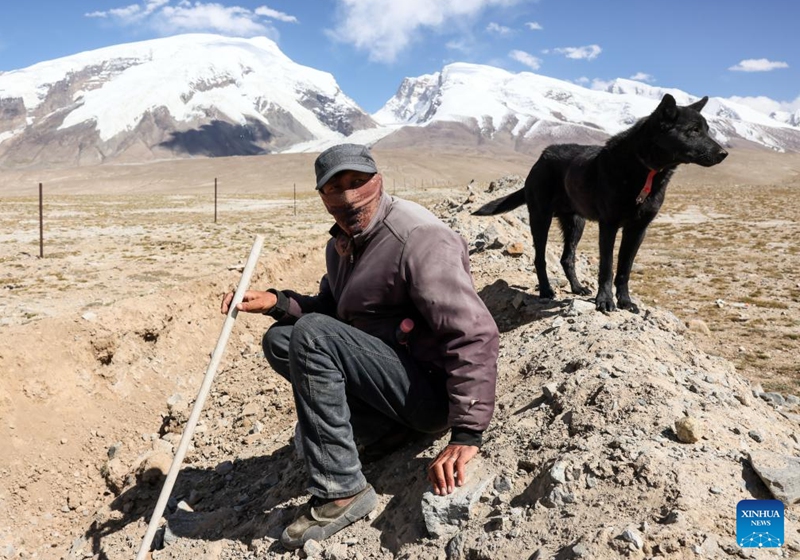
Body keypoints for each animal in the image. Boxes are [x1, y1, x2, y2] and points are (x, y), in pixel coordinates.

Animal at [472, 94, 728, 312]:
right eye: (693, 130)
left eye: (707, 130)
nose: (724, 153)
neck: (645, 168)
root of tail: (542, 157)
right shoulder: (609, 225)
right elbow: (607, 266)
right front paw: (605, 301)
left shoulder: (638, 229)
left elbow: (624, 268)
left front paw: (625, 301)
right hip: (540, 218)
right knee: (540, 258)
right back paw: (546, 290)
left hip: (576, 223)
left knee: (567, 258)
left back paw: (577, 287)